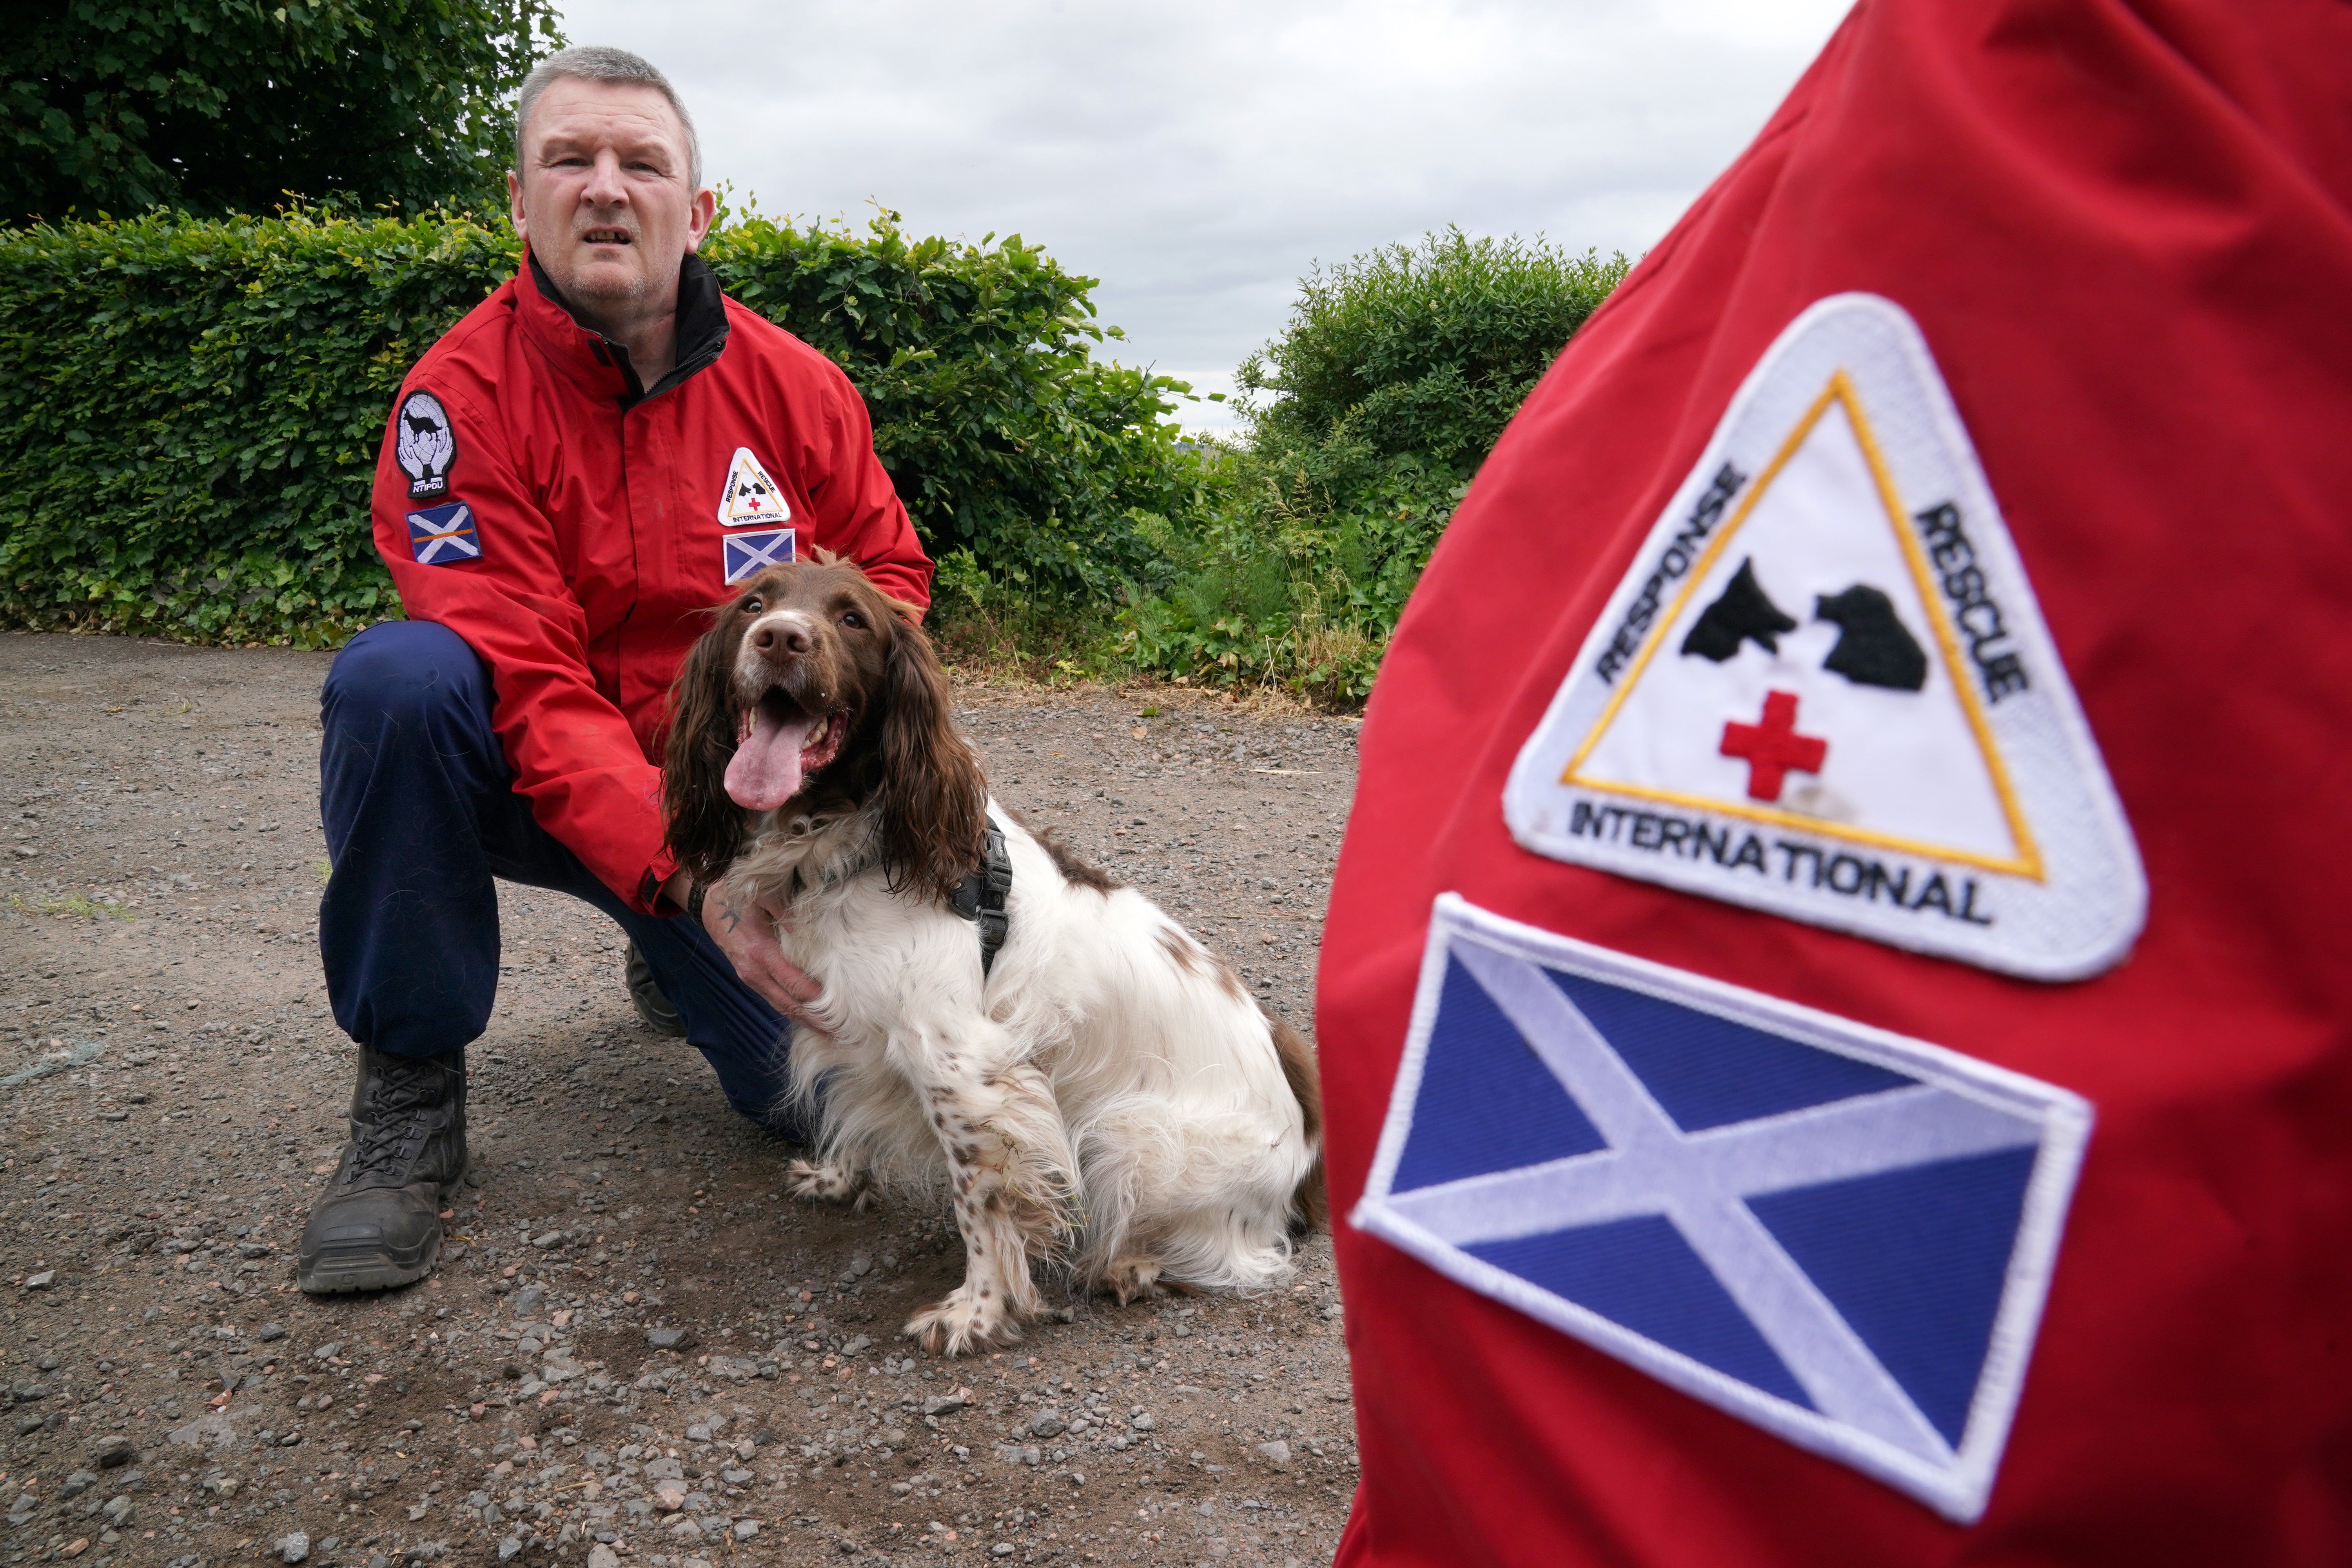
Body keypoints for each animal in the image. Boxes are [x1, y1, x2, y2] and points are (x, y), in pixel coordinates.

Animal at [668, 557, 1327, 1354]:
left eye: (853, 619)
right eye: (755, 604)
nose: (781, 638)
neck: (853, 841)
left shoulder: (963, 1069)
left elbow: (981, 1202)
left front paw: (978, 1312)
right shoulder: (853, 1028)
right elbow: (849, 1110)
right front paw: (840, 1180)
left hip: (1133, 1135)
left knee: (1241, 1253)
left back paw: (1131, 1265)